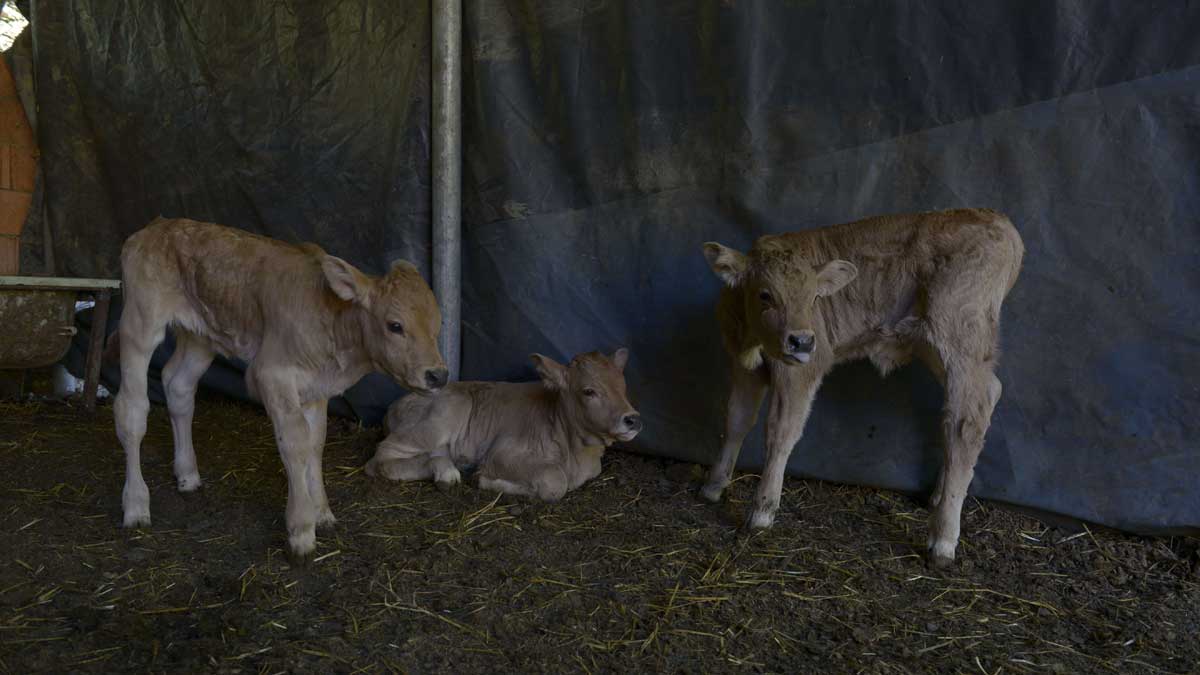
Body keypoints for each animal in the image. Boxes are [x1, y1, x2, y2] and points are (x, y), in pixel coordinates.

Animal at [367, 345, 643, 499]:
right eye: (588, 391)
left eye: (623, 385)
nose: (632, 419)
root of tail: (394, 405)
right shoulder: (501, 453)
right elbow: (554, 481)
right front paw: (486, 480)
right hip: (446, 413)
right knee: (380, 459)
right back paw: (445, 472)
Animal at [700, 207, 1022, 564]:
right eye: (765, 295)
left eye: (815, 297)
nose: (802, 341)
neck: (753, 341)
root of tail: (995, 218)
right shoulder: (742, 367)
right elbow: (736, 421)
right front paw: (714, 486)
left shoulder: (801, 370)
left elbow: (780, 433)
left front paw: (762, 511)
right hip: (938, 348)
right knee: (986, 393)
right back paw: (939, 496)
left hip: (960, 336)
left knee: (965, 422)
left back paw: (943, 540)